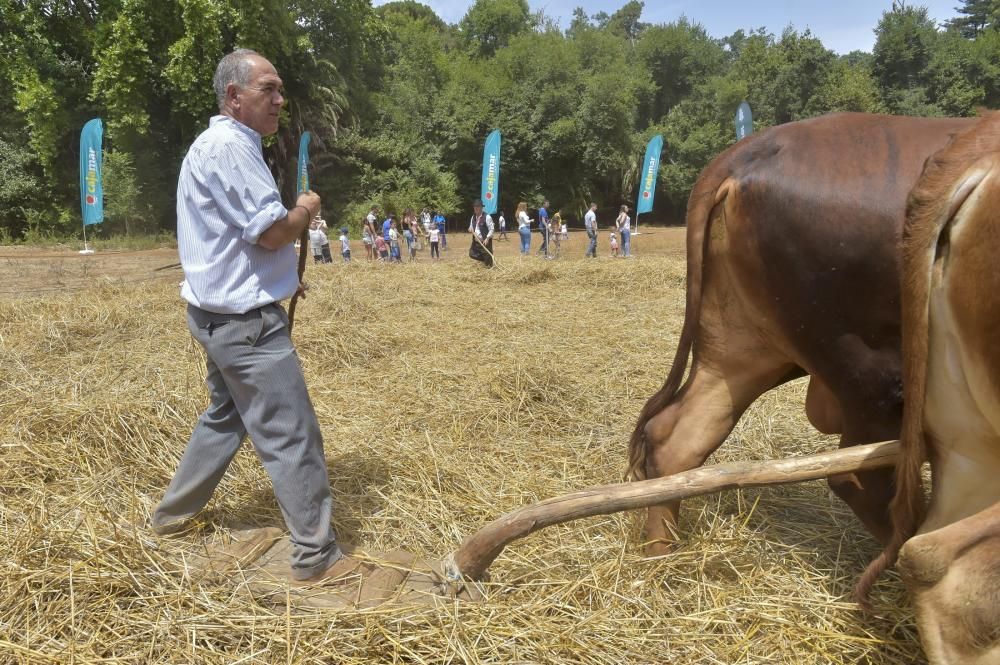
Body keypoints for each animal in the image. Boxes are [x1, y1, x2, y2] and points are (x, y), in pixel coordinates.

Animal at [628, 111, 972, 552]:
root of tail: (746, 150)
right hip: (873, 370)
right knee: (862, 479)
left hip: (745, 344)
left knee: (675, 437)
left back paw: (660, 554)